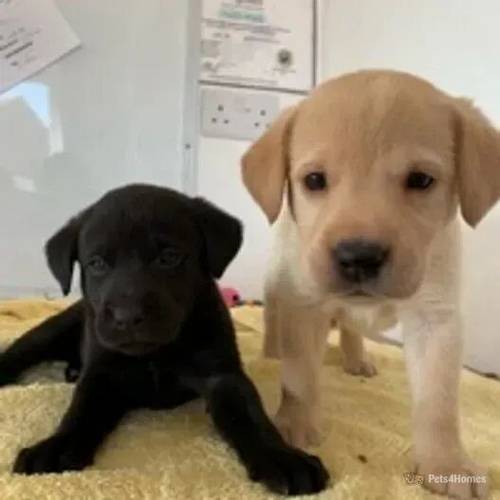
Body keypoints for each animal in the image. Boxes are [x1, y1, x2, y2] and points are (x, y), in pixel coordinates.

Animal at [0, 186, 328, 494]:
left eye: (168, 258)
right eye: (96, 263)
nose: (127, 316)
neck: (155, 353)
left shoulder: (223, 375)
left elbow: (252, 416)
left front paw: (283, 458)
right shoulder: (102, 373)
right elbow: (81, 411)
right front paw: (56, 446)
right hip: (53, 329)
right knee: (19, 350)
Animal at [240, 71, 498, 500]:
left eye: (420, 180)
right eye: (314, 180)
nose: (359, 255)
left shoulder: (437, 319)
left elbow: (439, 402)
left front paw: (446, 463)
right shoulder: (305, 305)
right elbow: (300, 376)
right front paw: (295, 425)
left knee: (351, 328)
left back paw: (357, 358)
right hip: (279, 280)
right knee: (276, 320)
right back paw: (272, 350)